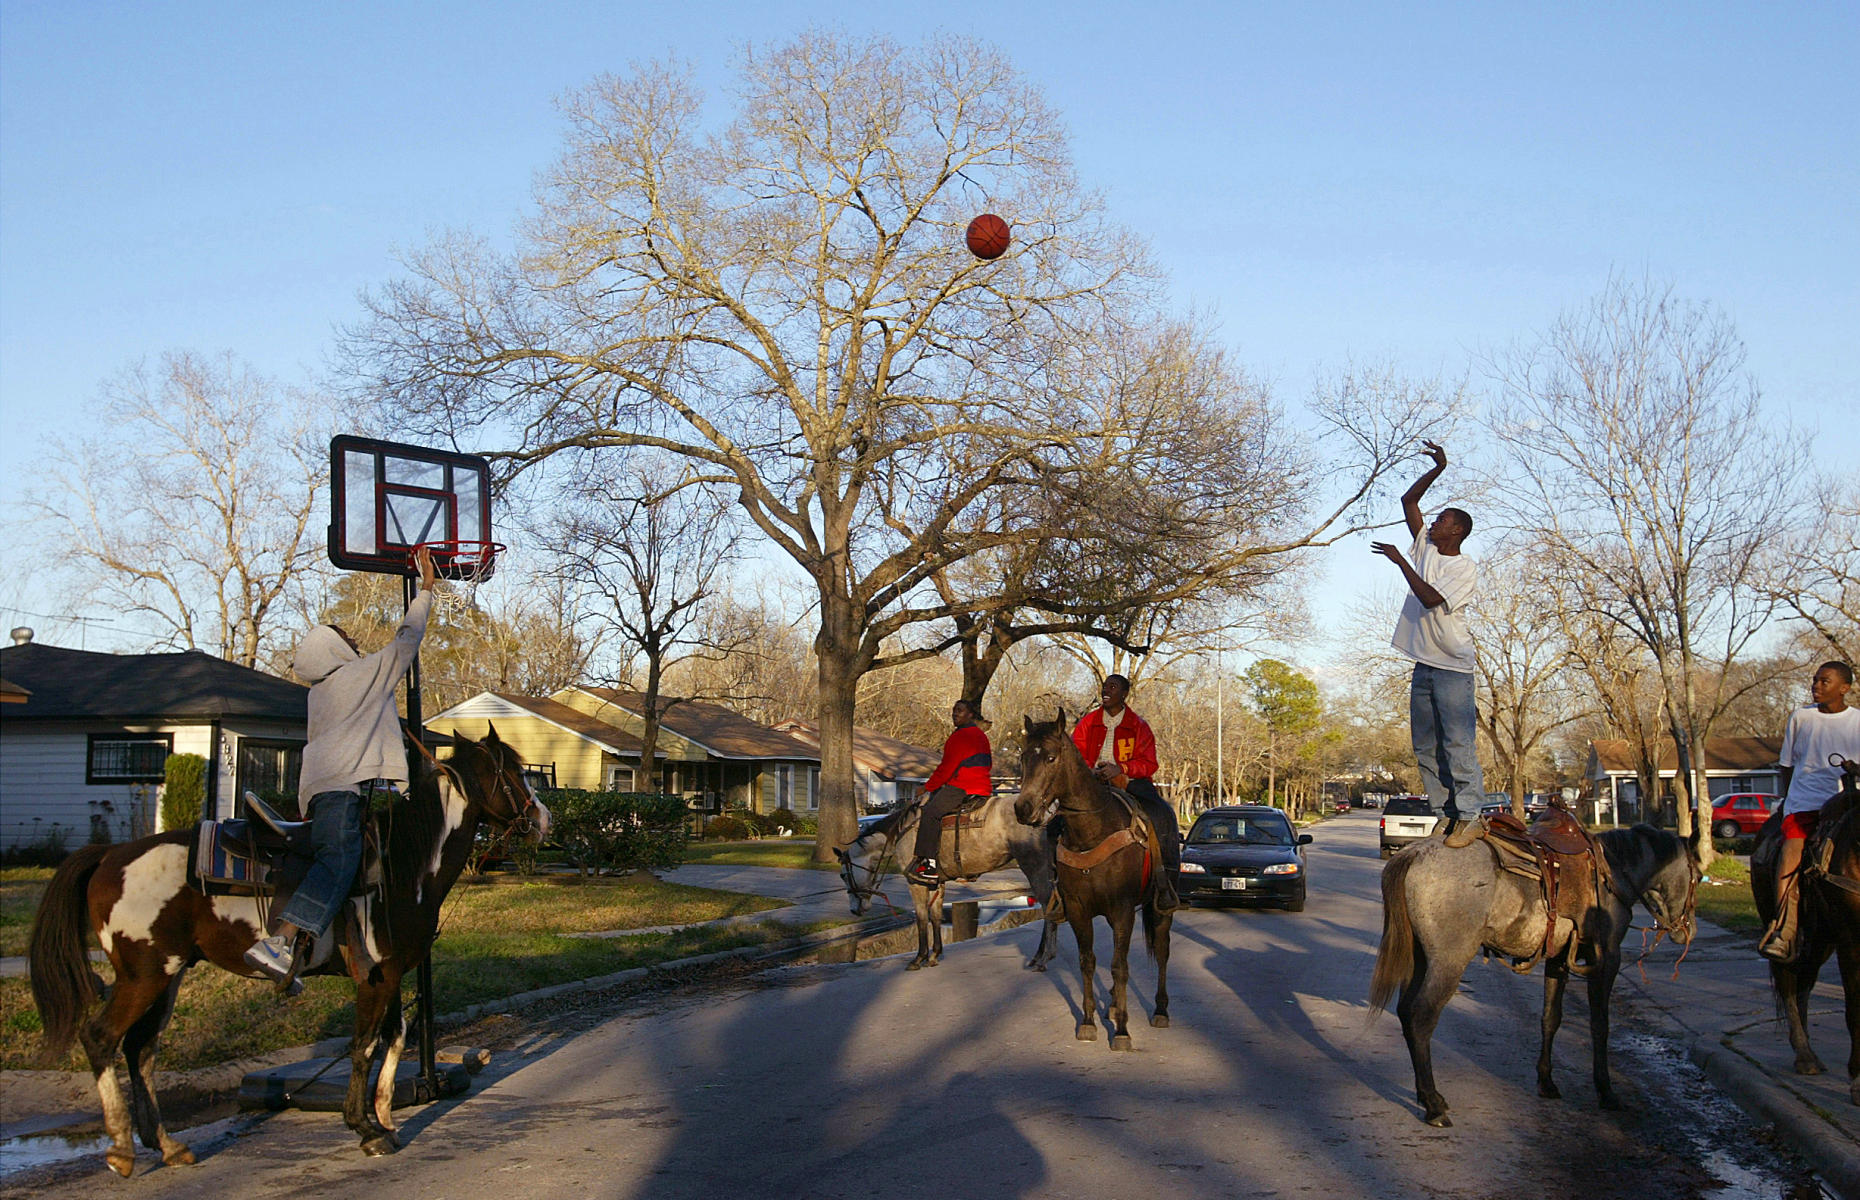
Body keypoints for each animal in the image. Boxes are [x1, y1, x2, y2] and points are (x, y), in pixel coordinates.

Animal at [29, 725, 543, 1175]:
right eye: (517, 774)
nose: (543, 818)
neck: (404, 866)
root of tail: (109, 855)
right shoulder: (375, 976)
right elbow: (363, 1045)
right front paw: (366, 1130)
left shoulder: (392, 972)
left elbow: (394, 1037)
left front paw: (384, 1118)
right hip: (144, 974)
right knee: (102, 1038)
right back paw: (121, 1149)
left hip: (167, 976)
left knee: (140, 1048)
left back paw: (168, 1146)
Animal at [833, 792, 1063, 967]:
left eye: (843, 875)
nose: (855, 909)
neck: (902, 832)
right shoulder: (936, 882)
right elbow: (935, 916)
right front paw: (935, 954)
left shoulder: (915, 882)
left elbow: (921, 917)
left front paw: (919, 958)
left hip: (1035, 868)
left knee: (1048, 907)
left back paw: (1043, 957)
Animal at [1011, 710, 1182, 1049]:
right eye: (1023, 758)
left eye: (1051, 757)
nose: (1023, 808)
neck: (1092, 831)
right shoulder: (1079, 909)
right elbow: (1087, 962)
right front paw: (1089, 1022)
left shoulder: (1123, 910)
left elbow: (1119, 966)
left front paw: (1122, 1031)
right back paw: (1114, 1005)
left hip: (1160, 907)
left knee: (1162, 950)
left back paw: (1160, 1010)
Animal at [1368, 822, 1703, 1123]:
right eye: (1698, 876)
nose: (1687, 931)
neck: (1613, 872)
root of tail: (1413, 854)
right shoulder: (1607, 959)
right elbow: (1600, 1025)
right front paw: (1606, 1091)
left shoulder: (1559, 960)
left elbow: (1550, 1018)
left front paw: (1547, 1082)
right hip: (1449, 960)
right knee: (1421, 1016)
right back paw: (1434, 1104)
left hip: (1420, 958)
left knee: (1405, 1011)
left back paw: (1427, 1096)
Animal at [1748, 759, 1860, 1101]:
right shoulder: (1850, 940)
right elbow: (1854, 1005)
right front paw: (1857, 1079)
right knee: (1787, 980)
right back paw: (1804, 1054)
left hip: (1819, 939)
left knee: (1804, 983)